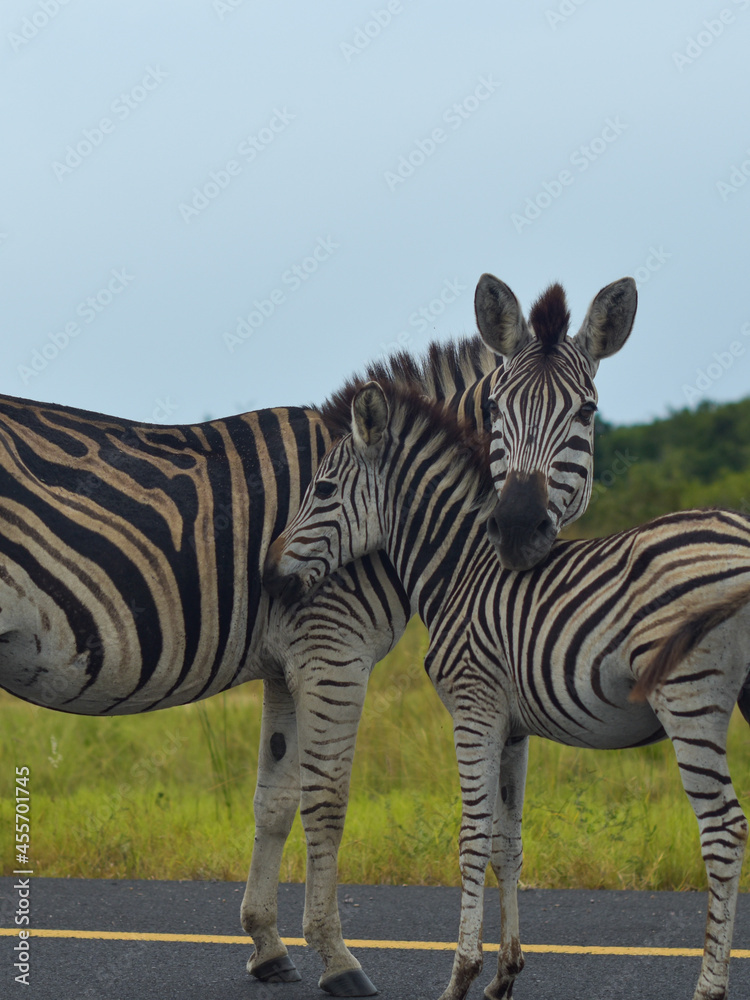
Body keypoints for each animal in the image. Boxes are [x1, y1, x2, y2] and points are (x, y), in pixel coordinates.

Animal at [264, 380, 750, 1000]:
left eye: (322, 490)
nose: (266, 575)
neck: (461, 569)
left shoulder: (473, 709)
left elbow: (471, 836)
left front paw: (460, 976)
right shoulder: (513, 728)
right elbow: (507, 842)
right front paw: (504, 974)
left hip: (690, 697)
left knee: (723, 830)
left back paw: (709, 987)